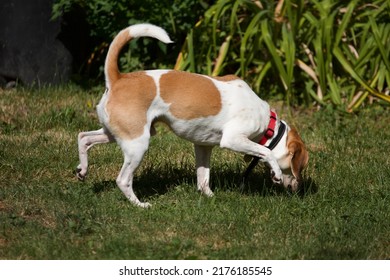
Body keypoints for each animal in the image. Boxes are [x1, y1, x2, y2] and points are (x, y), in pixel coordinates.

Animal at [75, 24, 308, 208]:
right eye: (300, 166)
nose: (299, 188)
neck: (268, 124)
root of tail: (118, 79)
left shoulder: (203, 146)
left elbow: (203, 176)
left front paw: (210, 196)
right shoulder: (232, 139)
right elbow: (266, 152)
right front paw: (276, 172)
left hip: (117, 132)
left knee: (84, 137)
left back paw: (82, 169)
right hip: (137, 143)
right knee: (123, 180)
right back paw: (139, 204)